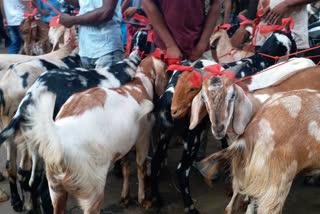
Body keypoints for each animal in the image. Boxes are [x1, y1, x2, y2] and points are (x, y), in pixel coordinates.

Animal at [20, 56, 169, 213]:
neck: (140, 85)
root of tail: (58, 133)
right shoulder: (143, 139)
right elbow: (141, 169)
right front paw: (143, 200)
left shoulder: (124, 145)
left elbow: (126, 169)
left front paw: (125, 197)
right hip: (92, 190)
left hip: (56, 188)